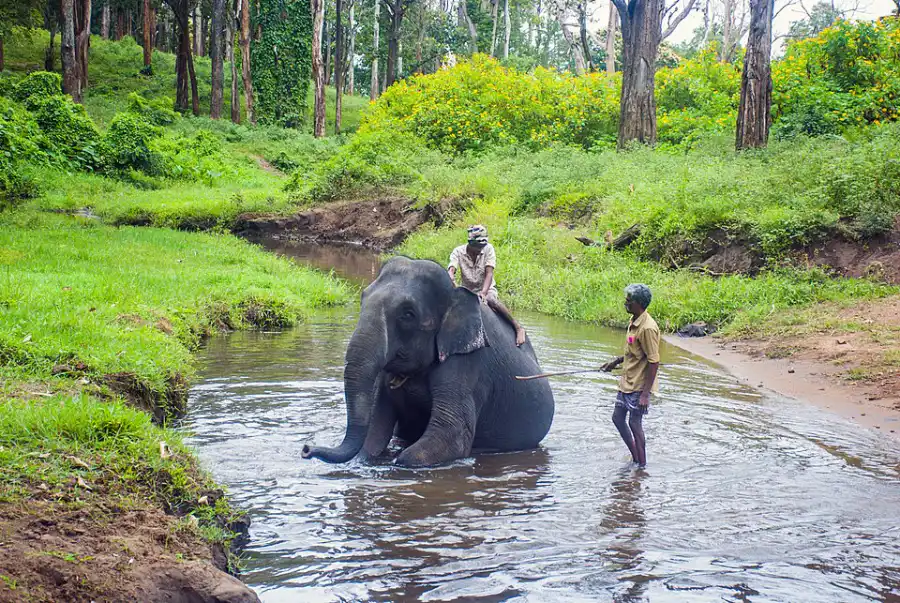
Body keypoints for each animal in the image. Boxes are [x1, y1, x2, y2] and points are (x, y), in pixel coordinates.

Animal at [301, 256, 555, 467]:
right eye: (362, 299)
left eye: (408, 314)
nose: (306, 448)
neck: (454, 293)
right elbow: (375, 428)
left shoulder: (467, 364)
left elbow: (451, 435)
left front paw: (395, 462)